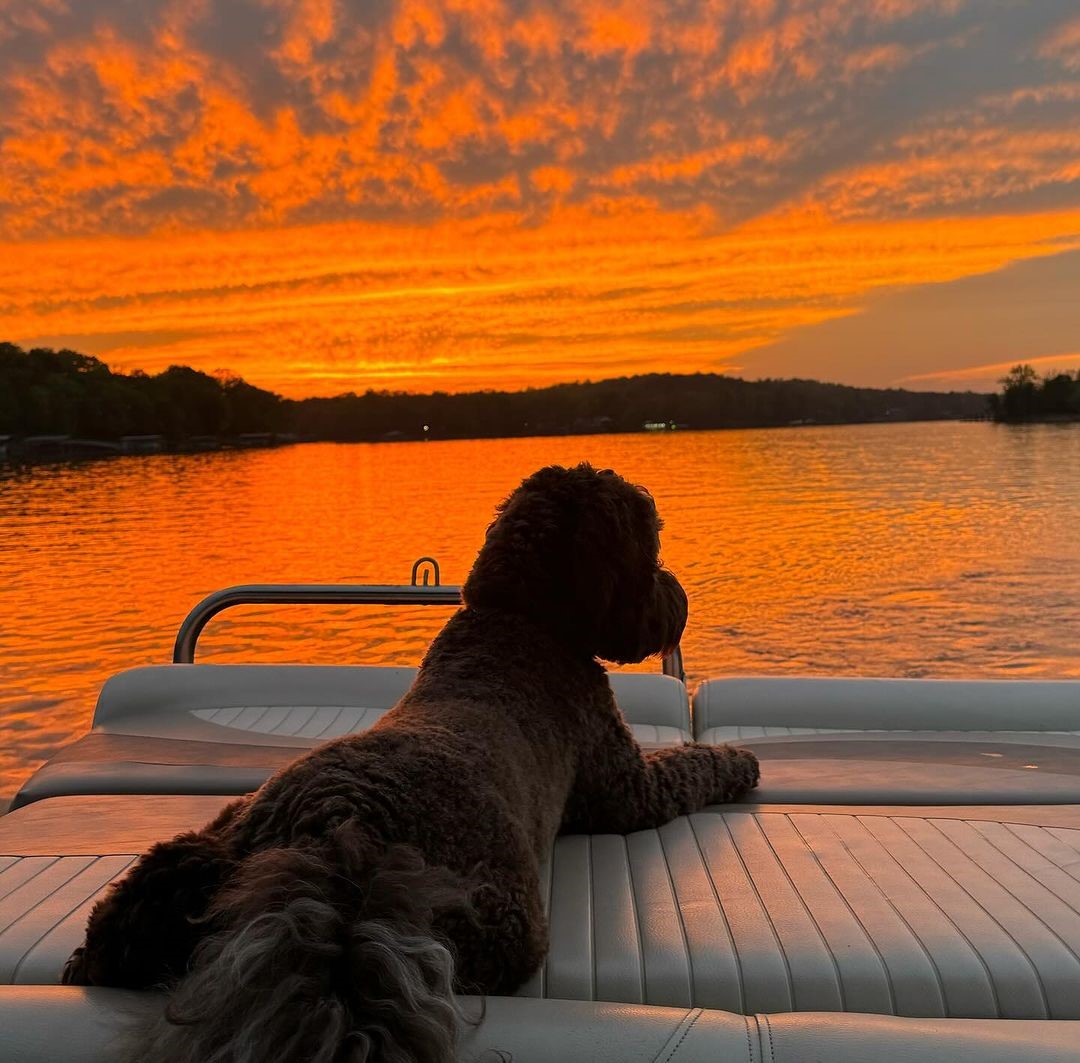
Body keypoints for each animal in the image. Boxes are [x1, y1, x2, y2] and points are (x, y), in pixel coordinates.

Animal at [63, 462, 764, 1063]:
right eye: (649, 544)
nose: (678, 597)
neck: (520, 619)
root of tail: (337, 835)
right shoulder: (623, 787)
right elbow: (693, 765)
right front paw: (741, 758)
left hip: (206, 845)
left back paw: (94, 961)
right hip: (497, 920)